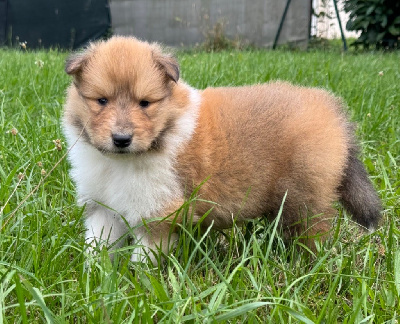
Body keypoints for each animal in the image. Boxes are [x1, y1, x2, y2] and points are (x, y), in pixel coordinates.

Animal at [63, 36, 382, 264]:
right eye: (101, 100)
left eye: (145, 103)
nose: (121, 139)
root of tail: (332, 111)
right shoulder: (100, 206)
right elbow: (98, 247)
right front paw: (95, 281)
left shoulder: (160, 212)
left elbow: (144, 260)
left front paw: (139, 288)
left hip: (303, 198)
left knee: (313, 233)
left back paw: (304, 266)